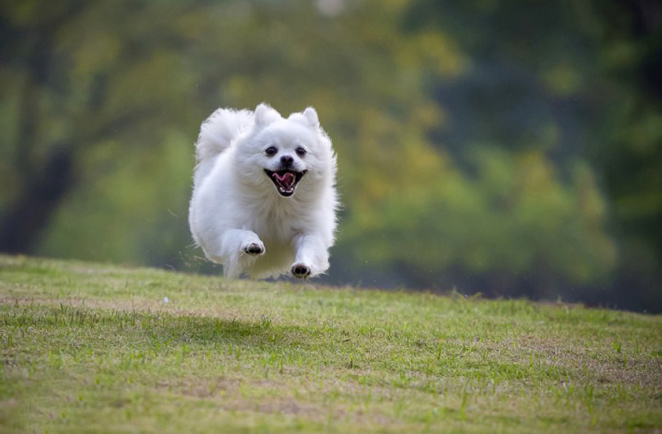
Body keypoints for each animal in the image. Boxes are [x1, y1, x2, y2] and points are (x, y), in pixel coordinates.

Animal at [189, 102, 340, 278]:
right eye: (271, 150)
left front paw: (302, 265)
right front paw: (252, 244)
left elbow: (308, 247)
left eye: (301, 151)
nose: (287, 158)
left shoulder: (308, 231)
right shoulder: (229, 230)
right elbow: (244, 233)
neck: (277, 201)